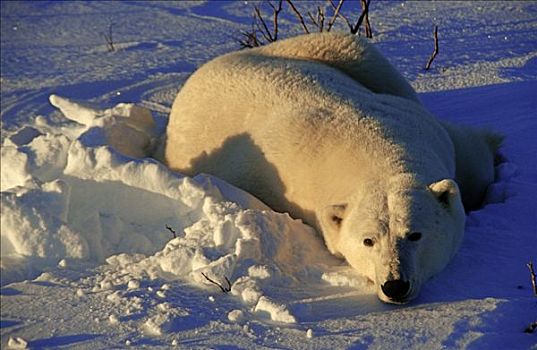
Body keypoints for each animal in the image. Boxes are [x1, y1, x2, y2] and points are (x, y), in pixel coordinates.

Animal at [161, 32, 500, 304]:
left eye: (415, 234)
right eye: (368, 240)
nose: (394, 285)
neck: (377, 150)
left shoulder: (418, 124)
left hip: (331, 52)